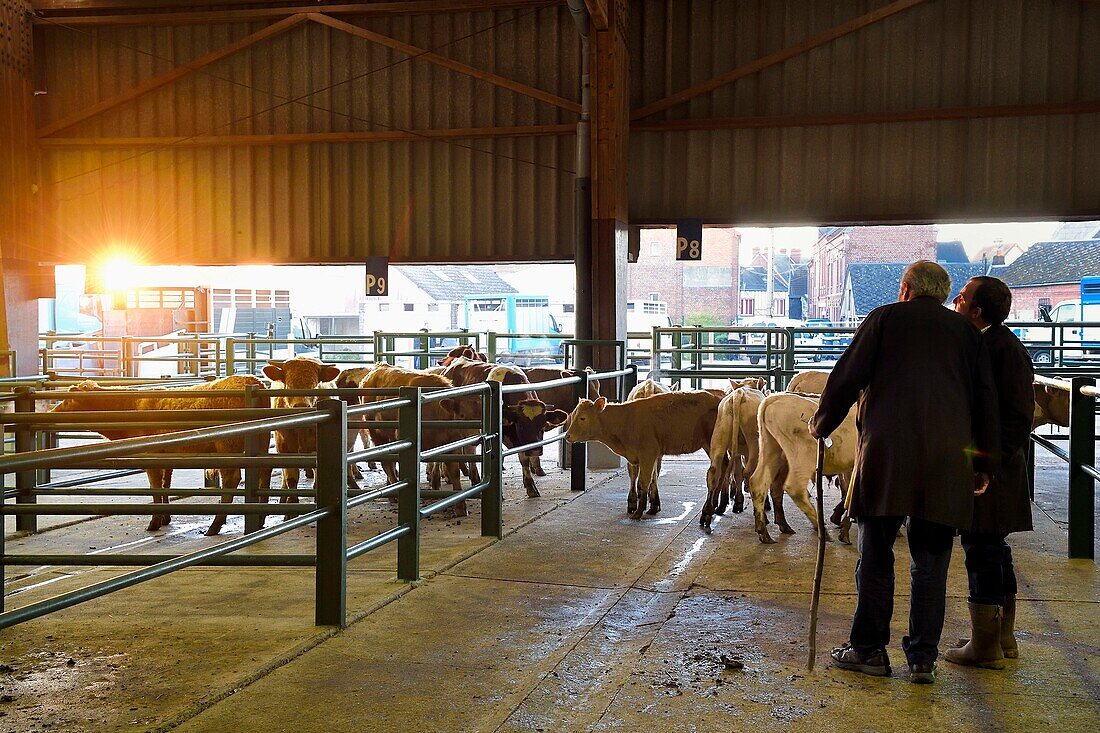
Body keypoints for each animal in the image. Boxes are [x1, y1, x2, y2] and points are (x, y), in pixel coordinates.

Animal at [50, 374, 275, 534]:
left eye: (68, 400)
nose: (51, 413)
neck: (131, 406)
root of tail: (253, 382)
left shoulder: (151, 457)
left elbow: (156, 488)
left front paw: (154, 522)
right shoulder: (168, 457)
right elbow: (166, 485)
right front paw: (166, 519)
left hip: (228, 446)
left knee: (231, 479)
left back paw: (215, 525)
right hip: (260, 442)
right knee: (263, 471)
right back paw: (260, 518)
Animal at [260, 356, 338, 517]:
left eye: (314, 386)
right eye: (289, 385)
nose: (301, 405)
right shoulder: (284, 447)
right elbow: (291, 477)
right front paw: (291, 506)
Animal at [563, 391, 726, 517]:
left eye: (582, 418)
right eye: (574, 414)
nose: (567, 435)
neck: (625, 420)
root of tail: (719, 398)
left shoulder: (648, 453)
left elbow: (644, 481)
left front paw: (639, 511)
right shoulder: (641, 455)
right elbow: (642, 477)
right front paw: (647, 506)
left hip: (712, 445)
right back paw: (719, 504)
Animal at [748, 394, 858, 541]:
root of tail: (775, 397)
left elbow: (848, 495)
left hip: (771, 449)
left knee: (759, 483)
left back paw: (764, 532)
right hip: (803, 456)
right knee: (795, 488)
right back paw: (820, 528)